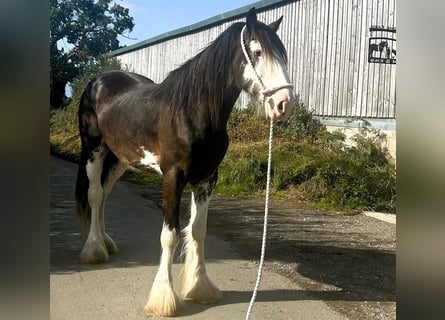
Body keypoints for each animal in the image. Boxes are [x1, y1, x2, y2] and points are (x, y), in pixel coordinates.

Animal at [74, 7, 294, 318]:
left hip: (120, 159)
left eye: (282, 54)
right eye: (257, 52)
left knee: (104, 195)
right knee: (94, 194)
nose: (284, 104)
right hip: (94, 149)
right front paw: (164, 299)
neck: (192, 112)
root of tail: (98, 81)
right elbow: (170, 235)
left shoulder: (207, 178)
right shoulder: (173, 177)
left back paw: (106, 242)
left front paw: (200, 288)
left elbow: (198, 231)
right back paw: (94, 250)